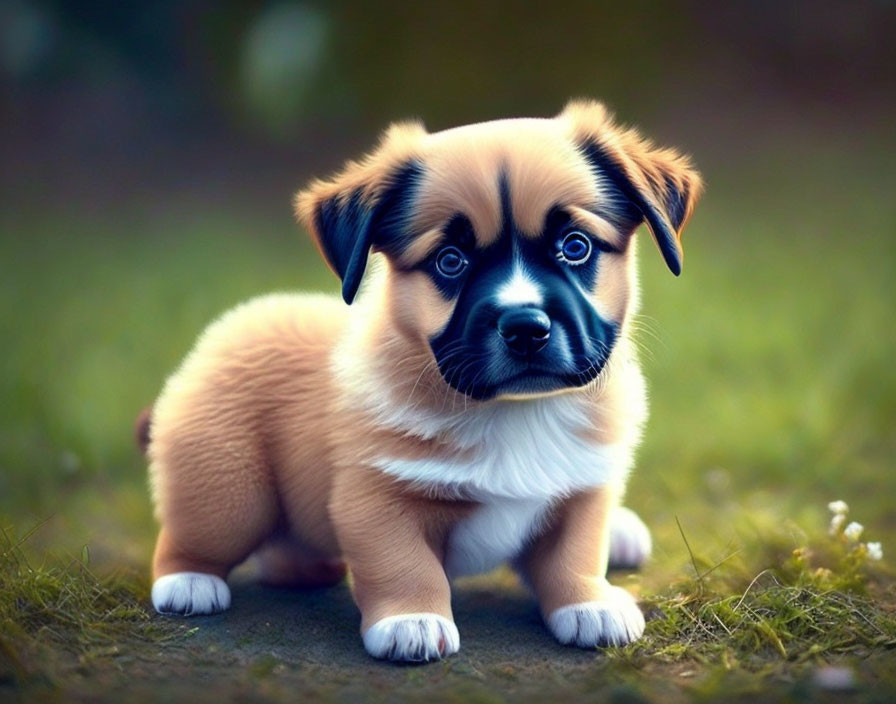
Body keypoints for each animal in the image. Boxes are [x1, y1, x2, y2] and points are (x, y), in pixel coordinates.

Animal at [145, 102, 700, 664]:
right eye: (450, 261)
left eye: (575, 246)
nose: (525, 328)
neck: (514, 409)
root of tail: (229, 327)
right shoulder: (376, 501)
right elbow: (404, 564)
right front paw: (412, 619)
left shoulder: (582, 490)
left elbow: (576, 554)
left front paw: (590, 603)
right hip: (229, 488)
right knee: (192, 536)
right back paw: (188, 582)